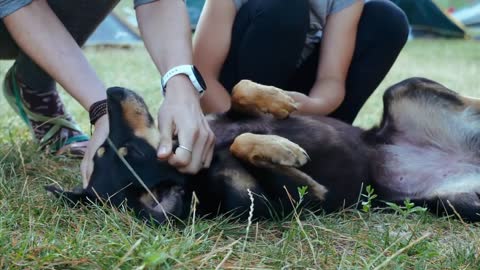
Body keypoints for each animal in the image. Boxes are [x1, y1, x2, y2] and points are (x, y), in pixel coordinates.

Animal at [47, 77, 480, 223]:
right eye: (130, 154)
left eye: (114, 149)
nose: (110, 92)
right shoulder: (274, 201)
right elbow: (251, 150)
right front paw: (284, 151)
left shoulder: (225, 115)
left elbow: (240, 89)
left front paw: (280, 101)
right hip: (456, 204)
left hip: (403, 90)